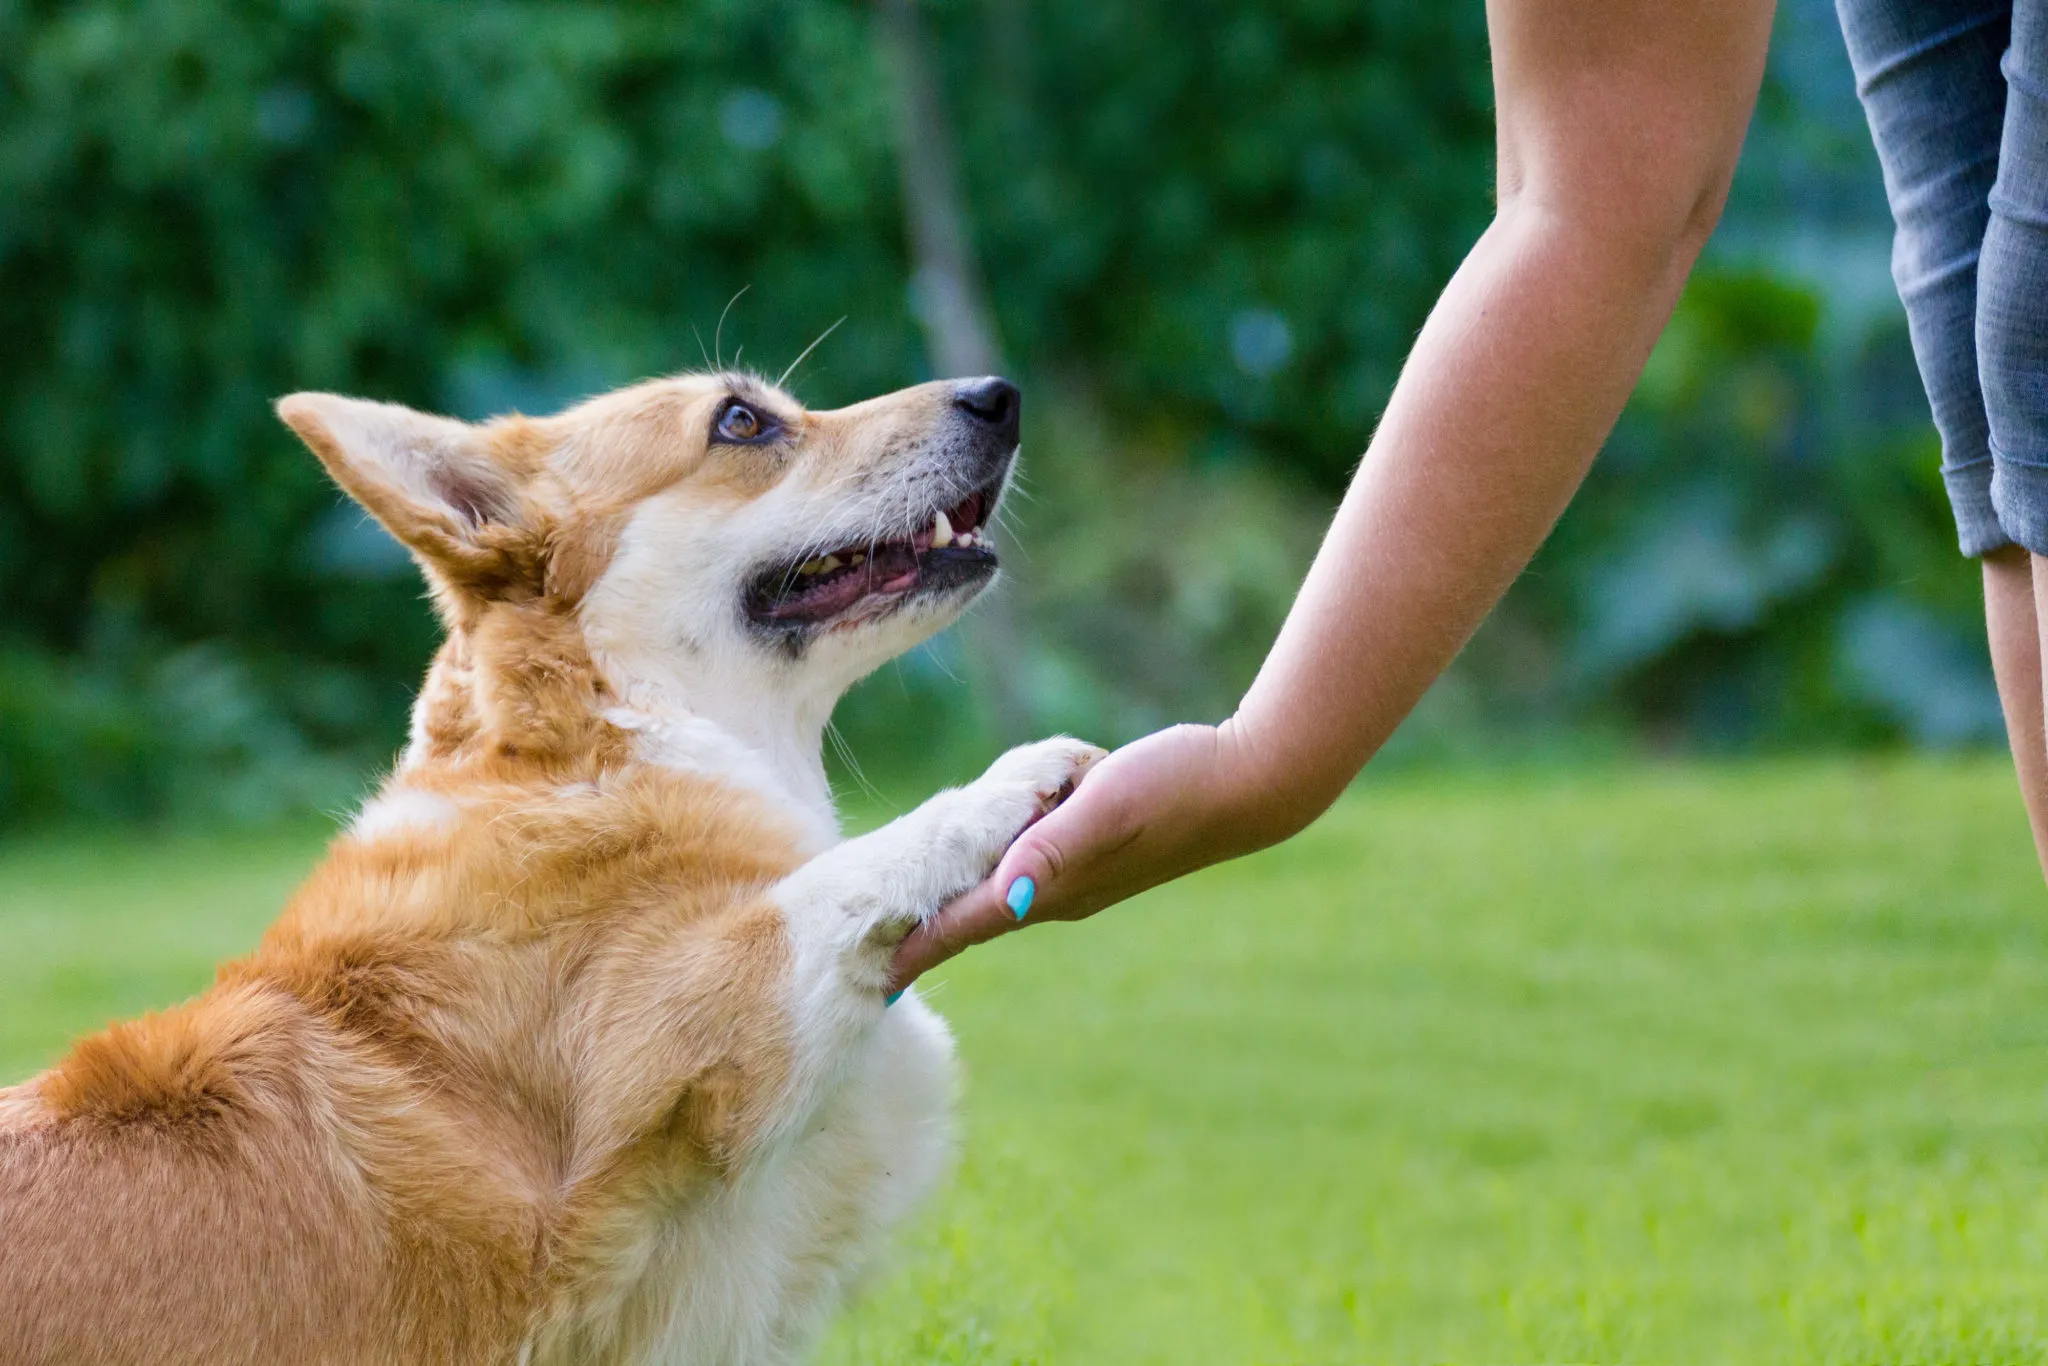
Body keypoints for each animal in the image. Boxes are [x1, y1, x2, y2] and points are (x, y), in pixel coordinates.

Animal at [0, 370, 1105, 1366]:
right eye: (740, 421)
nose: (998, 394)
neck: (607, 732)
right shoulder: (693, 1023)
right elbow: (837, 876)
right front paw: (1012, 779)